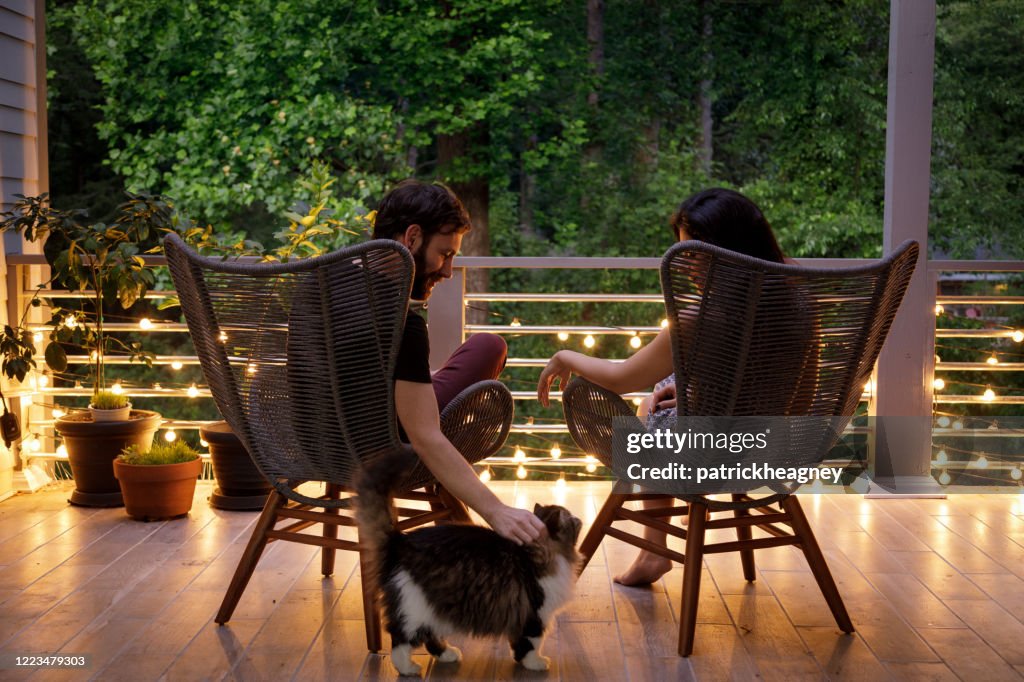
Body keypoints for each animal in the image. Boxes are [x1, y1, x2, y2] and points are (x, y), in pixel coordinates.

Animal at [354, 450, 581, 675]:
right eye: (570, 519)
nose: (578, 518)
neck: (535, 553)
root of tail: (399, 541)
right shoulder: (535, 614)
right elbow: (532, 644)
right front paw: (535, 663)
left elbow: (518, 643)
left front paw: (521, 660)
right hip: (414, 608)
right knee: (400, 639)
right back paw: (408, 668)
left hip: (436, 610)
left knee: (430, 637)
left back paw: (448, 654)